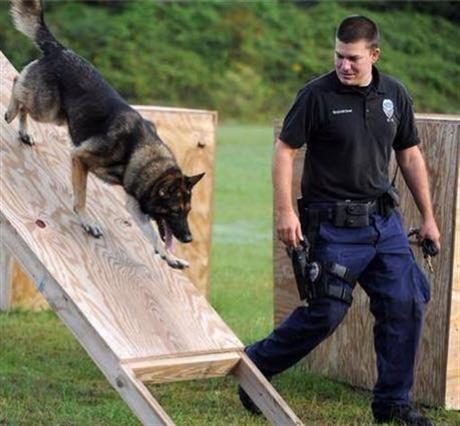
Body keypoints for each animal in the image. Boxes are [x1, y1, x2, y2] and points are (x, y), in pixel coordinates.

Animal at [5, 0, 205, 268]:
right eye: (174, 211)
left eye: (188, 211)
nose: (188, 238)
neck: (138, 153)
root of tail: (60, 49)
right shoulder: (79, 158)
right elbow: (81, 198)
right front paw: (88, 222)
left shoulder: (135, 204)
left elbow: (154, 235)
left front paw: (169, 257)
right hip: (46, 109)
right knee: (17, 82)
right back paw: (11, 111)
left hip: (56, 115)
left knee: (23, 94)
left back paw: (24, 132)